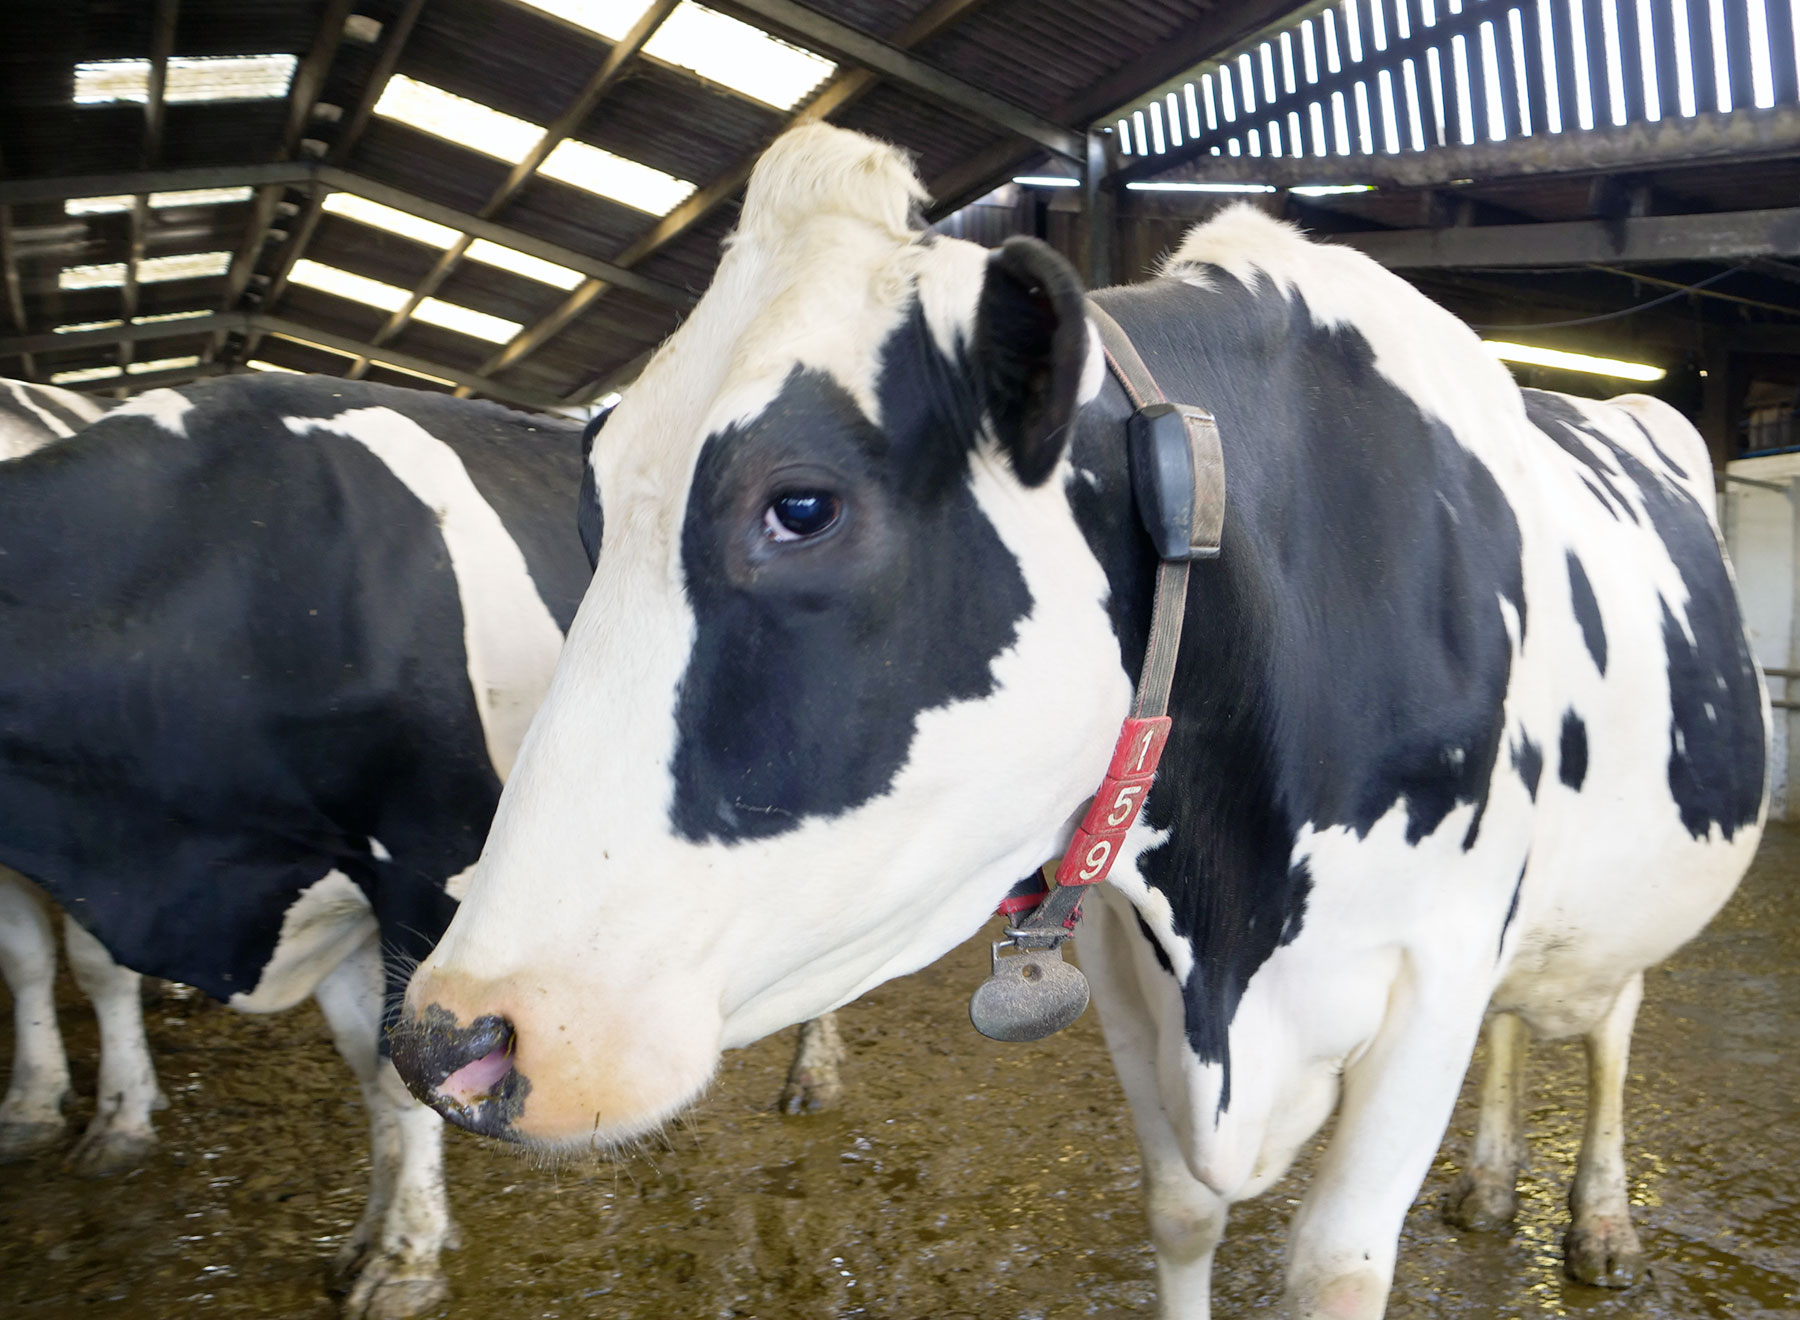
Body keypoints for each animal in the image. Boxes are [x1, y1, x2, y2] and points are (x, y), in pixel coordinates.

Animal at [390, 123, 1767, 1318]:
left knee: (1610, 1020)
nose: (457, 1035)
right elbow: (1180, 1212)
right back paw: (1488, 1184)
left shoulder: (1435, 963)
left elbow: (1334, 1266)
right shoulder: (1126, 958)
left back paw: (1597, 1219)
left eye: (800, 506)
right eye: (590, 513)